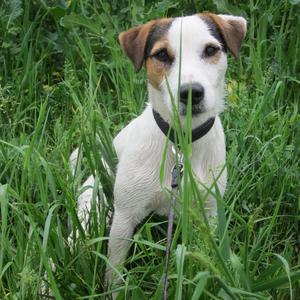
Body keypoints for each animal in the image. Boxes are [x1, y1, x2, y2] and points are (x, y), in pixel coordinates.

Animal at [70, 12, 246, 292]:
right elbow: (114, 271)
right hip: (92, 208)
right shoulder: (124, 217)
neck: (181, 144)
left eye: (210, 50)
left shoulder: (208, 212)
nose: (191, 92)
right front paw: (116, 292)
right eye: (162, 54)